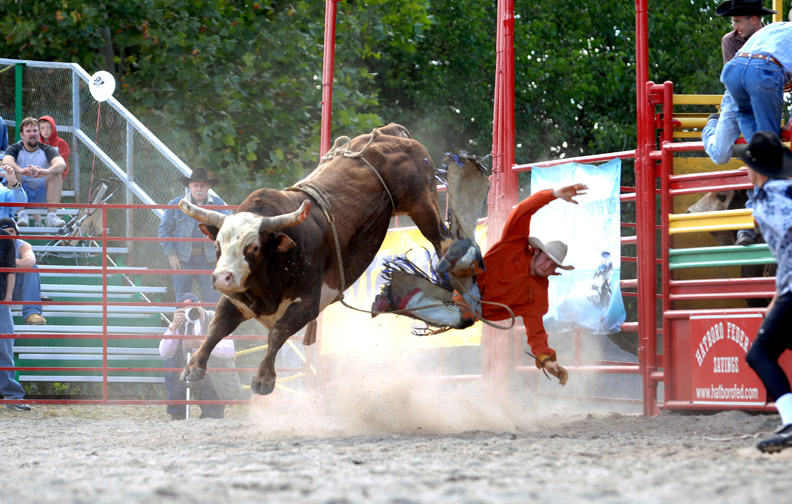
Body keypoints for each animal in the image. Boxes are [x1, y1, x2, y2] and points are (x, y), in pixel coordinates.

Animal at [176, 125, 454, 394]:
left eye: (253, 247)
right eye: (217, 244)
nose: (221, 278)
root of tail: (391, 133)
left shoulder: (310, 302)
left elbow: (277, 332)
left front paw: (264, 378)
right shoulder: (236, 299)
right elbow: (216, 327)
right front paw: (193, 366)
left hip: (423, 204)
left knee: (443, 239)